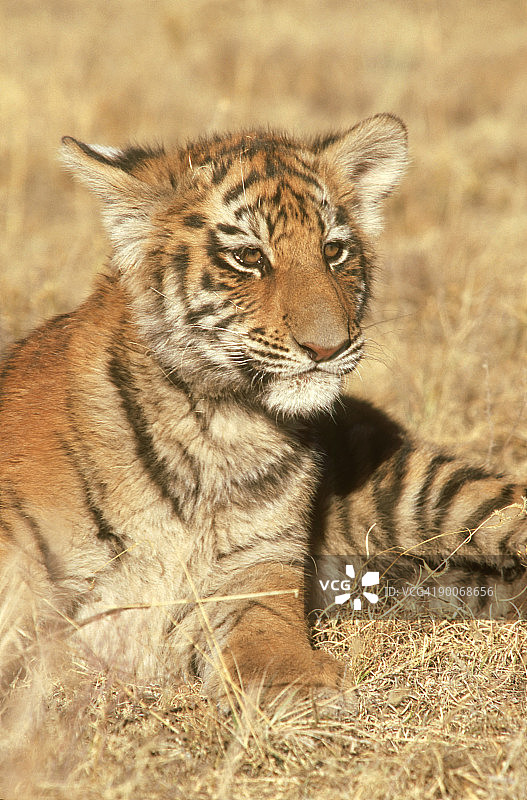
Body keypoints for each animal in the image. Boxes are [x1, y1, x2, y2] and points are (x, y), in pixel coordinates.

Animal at [1, 114, 526, 731]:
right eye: (249, 257)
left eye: (333, 250)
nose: (329, 347)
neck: (219, 427)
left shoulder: (255, 572)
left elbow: (266, 640)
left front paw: (303, 688)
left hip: (426, 492)